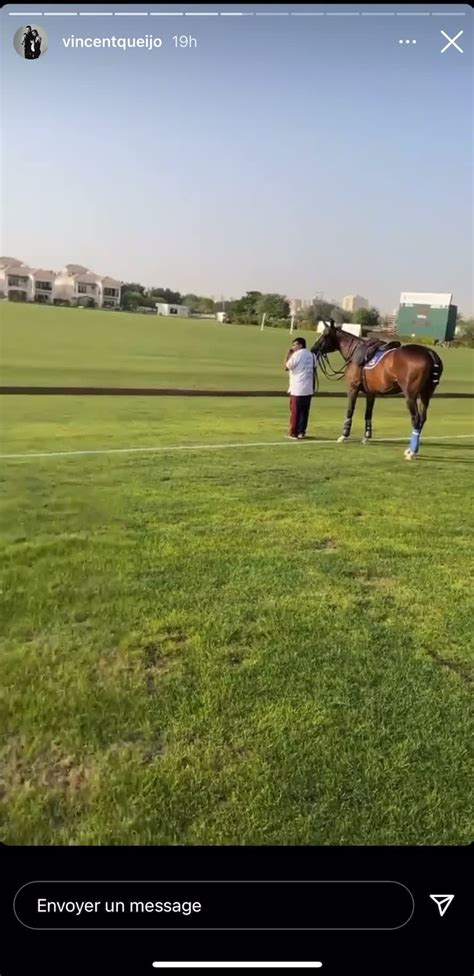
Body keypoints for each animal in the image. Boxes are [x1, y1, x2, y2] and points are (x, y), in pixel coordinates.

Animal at [312, 320, 444, 458]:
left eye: (325, 334)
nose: (313, 349)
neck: (354, 352)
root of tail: (430, 354)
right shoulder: (371, 393)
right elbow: (368, 414)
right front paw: (366, 437)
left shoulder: (353, 388)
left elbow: (350, 411)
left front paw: (344, 435)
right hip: (426, 394)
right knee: (422, 419)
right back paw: (411, 449)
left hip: (410, 396)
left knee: (416, 419)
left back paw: (411, 451)